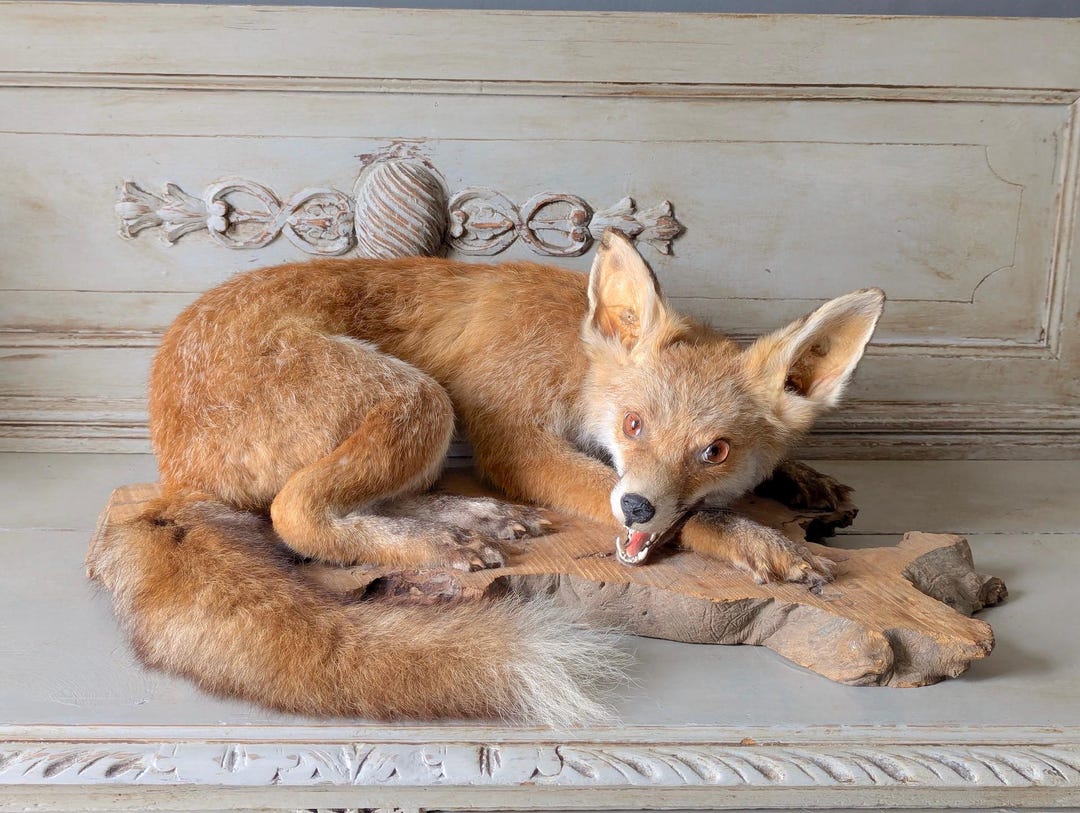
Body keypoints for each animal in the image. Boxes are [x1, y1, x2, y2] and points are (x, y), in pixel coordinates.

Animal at [88, 229, 884, 726]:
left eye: (713, 451)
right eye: (634, 426)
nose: (635, 506)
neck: (575, 350)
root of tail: (176, 478)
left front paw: (802, 479)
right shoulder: (515, 443)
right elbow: (690, 517)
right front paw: (750, 538)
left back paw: (468, 520)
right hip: (421, 399)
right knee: (297, 513)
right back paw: (435, 544)